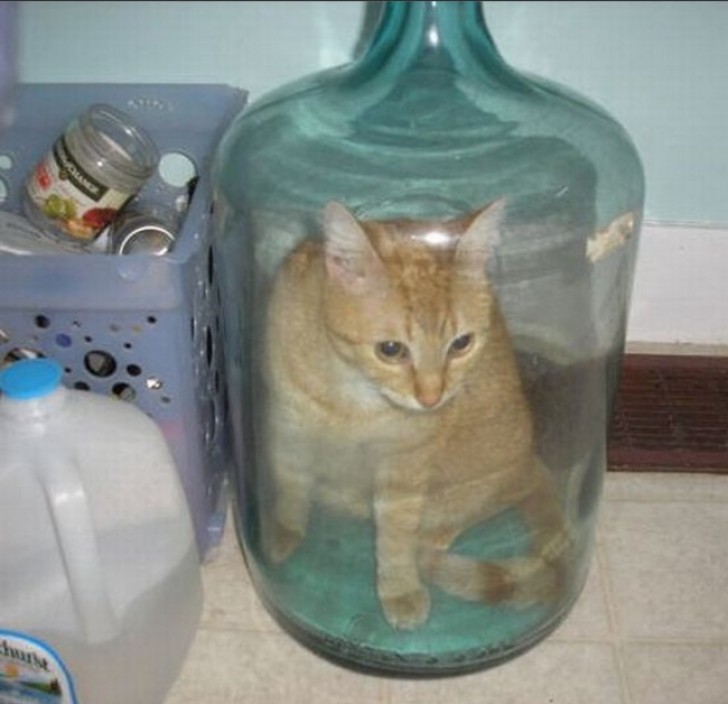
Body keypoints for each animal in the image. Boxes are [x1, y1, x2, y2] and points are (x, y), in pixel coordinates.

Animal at [262, 199, 576, 632]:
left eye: (461, 344)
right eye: (391, 349)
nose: (432, 398)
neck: (353, 396)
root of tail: (530, 460)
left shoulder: (404, 466)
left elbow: (395, 538)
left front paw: (400, 589)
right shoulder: (289, 428)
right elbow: (291, 488)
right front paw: (282, 534)